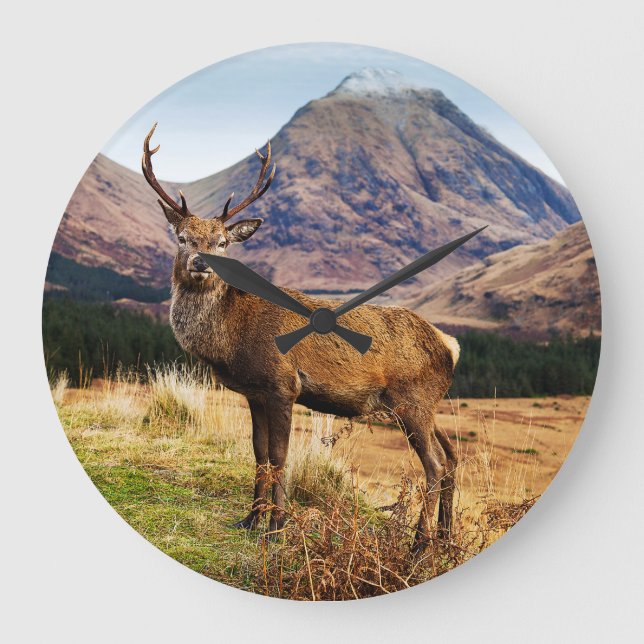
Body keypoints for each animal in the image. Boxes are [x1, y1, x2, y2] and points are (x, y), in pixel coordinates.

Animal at [142, 124, 460, 551]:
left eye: (222, 242)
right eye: (182, 237)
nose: (201, 263)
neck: (230, 341)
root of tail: (450, 345)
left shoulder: (283, 384)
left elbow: (279, 455)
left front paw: (277, 527)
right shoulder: (254, 392)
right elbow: (259, 454)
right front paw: (250, 519)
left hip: (412, 399)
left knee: (435, 464)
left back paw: (419, 544)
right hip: (427, 405)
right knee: (452, 455)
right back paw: (444, 537)